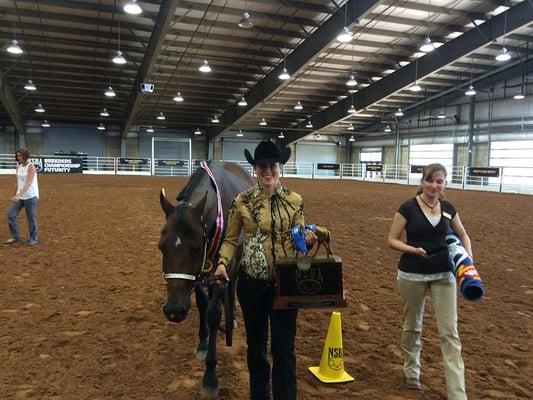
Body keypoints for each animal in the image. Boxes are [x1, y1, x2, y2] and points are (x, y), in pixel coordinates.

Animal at [157, 161, 252, 398]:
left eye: (196, 248)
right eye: (161, 247)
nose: (174, 311)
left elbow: (213, 312)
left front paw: (210, 376)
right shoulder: (200, 272)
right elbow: (202, 304)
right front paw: (202, 341)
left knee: (233, 283)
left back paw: (232, 317)